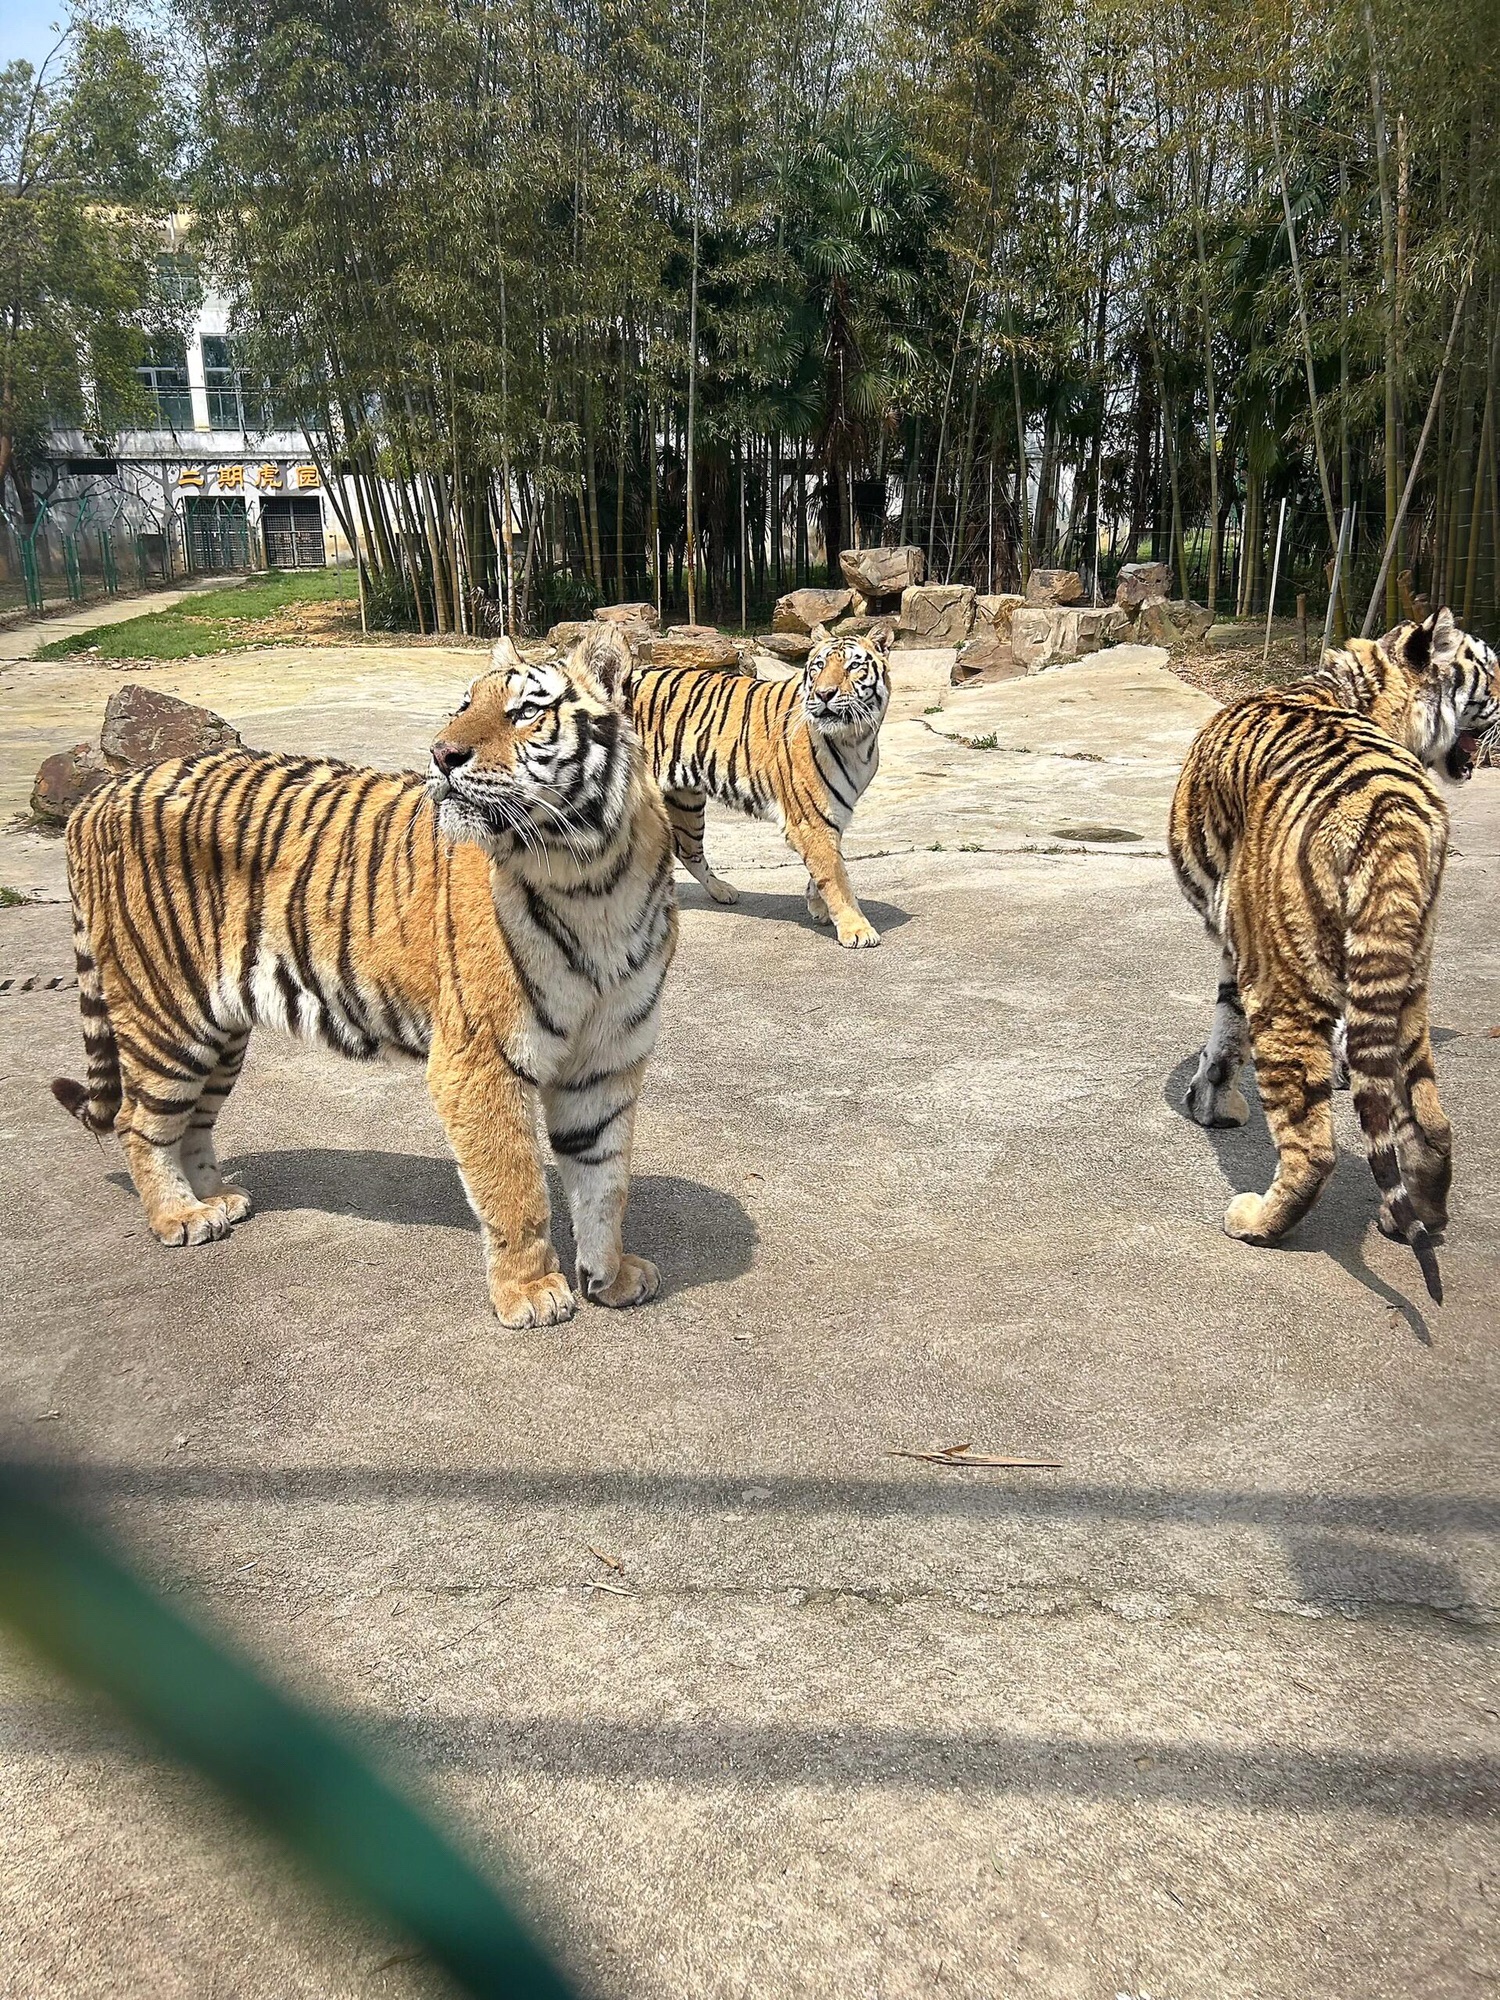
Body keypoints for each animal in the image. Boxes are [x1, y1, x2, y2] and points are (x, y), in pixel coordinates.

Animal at [51, 627, 677, 1330]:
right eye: (463, 705)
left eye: (524, 712)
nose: (441, 754)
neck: (592, 878)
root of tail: (98, 795)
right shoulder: (481, 1058)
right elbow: (515, 1183)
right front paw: (531, 1291)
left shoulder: (607, 1059)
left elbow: (605, 1181)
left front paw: (611, 1276)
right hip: (168, 1013)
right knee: (140, 1121)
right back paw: (180, 1216)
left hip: (222, 1027)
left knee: (194, 1120)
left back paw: (220, 1199)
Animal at [630, 621, 894, 947]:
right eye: (818, 667)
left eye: (853, 666)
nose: (824, 694)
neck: (856, 739)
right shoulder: (811, 820)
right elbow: (836, 877)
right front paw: (856, 929)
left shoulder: (831, 814)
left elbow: (825, 868)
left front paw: (817, 905)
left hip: (686, 800)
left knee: (687, 851)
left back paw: (722, 890)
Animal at [1169, 605, 1498, 1303]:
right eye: (1492, 671)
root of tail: (1393, 811)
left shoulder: (1243, 943)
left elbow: (1225, 1027)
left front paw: (1211, 1104)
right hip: (1409, 973)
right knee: (1430, 1122)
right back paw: (1415, 1219)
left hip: (1284, 982)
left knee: (1312, 1145)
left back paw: (1257, 1221)